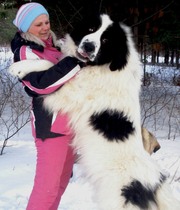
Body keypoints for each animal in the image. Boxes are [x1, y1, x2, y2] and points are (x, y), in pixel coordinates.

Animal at [9, 13, 179, 209]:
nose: (89, 46)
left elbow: (47, 64)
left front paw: (20, 67)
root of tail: (155, 185)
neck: (103, 65)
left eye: (105, 40)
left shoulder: (71, 92)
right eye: (91, 29)